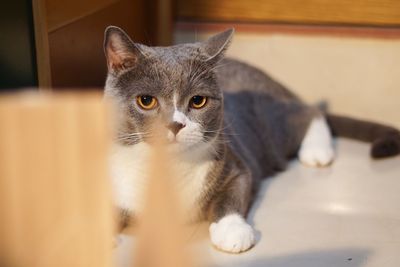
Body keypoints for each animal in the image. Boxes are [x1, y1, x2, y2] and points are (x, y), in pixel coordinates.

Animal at [104, 26, 400, 254]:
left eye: (198, 101)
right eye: (146, 100)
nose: (176, 124)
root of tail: (275, 83)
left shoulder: (236, 164)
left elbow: (232, 195)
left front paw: (232, 231)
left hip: (272, 126)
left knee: (309, 112)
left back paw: (316, 151)